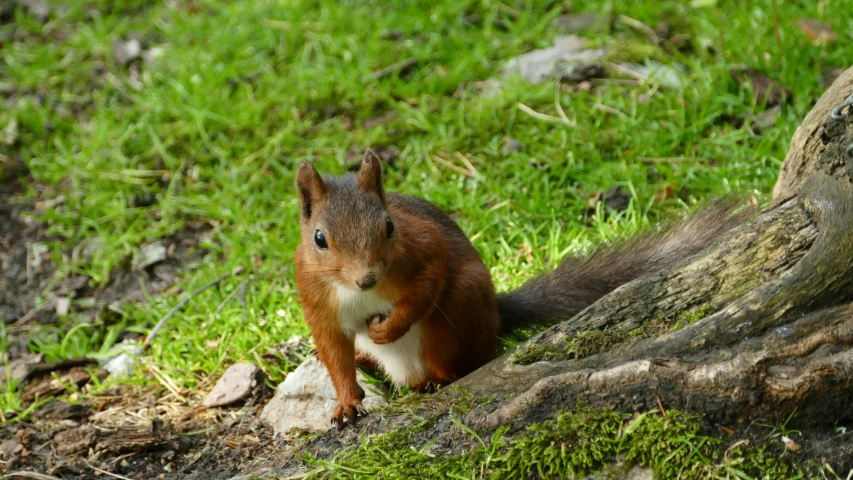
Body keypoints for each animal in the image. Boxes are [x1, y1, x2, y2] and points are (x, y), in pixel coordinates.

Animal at [294, 152, 744, 426]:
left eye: (388, 226)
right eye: (319, 239)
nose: (367, 279)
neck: (356, 291)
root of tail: (496, 316)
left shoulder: (424, 251)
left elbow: (427, 286)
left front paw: (387, 328)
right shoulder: (316, 299)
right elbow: (333, 351)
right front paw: (346, 404)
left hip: (460, 304)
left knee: (457, 353)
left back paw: (436, 380)